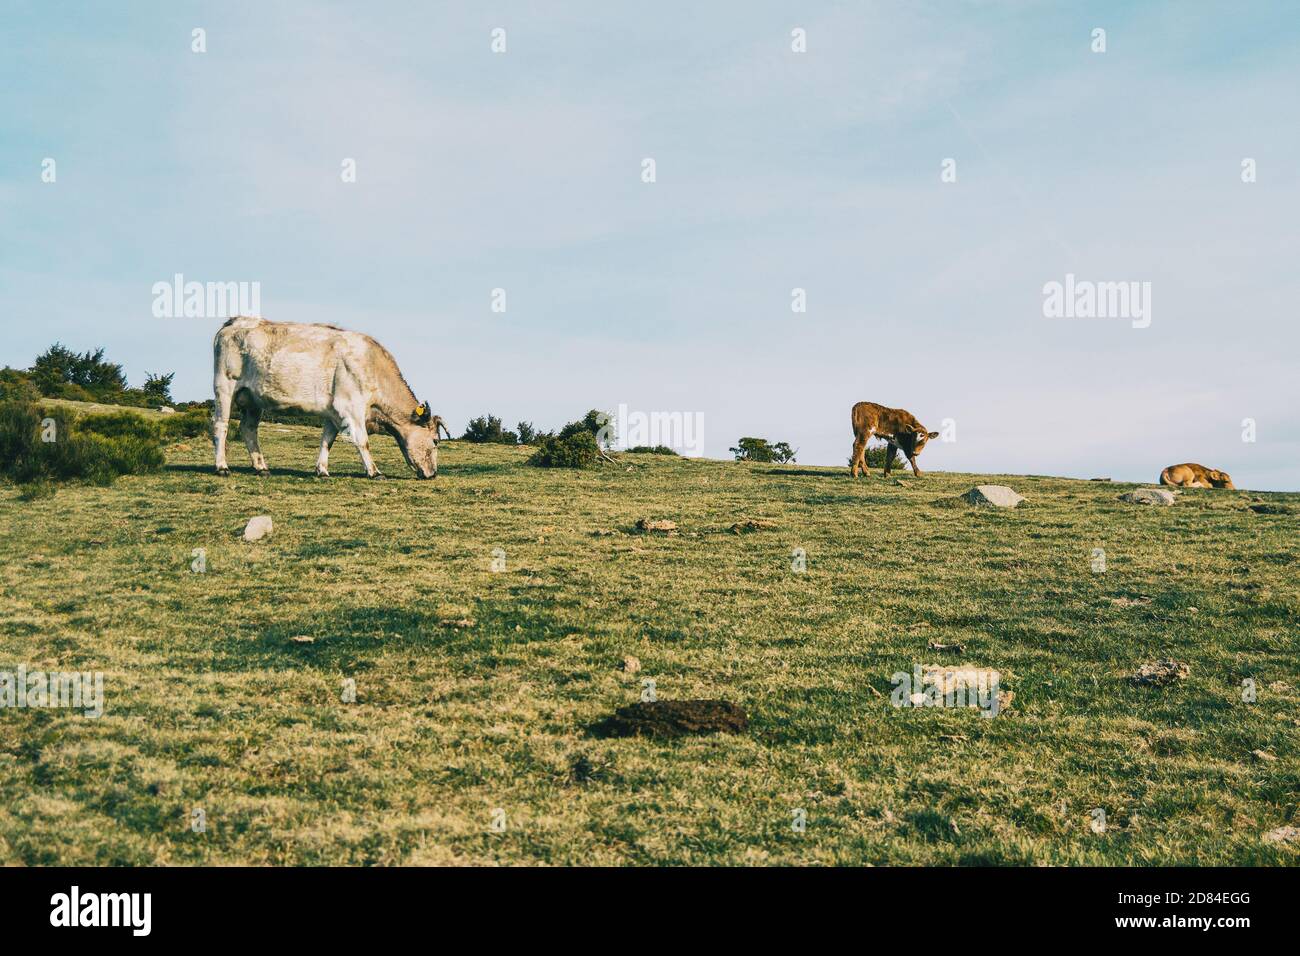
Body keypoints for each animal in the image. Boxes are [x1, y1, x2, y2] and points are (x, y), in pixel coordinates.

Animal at [212, 316, 449, 479]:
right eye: (436, 441)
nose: (434, 474)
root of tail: (235, 321)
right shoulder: (351, 407)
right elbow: (363, 441)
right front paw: (374, 472)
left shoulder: (333, 411)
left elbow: (327, 440)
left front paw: (322, 470)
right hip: (225, 387)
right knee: (221, 425)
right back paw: (222, 467)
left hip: (252, 399)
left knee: (248, 429)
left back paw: (261, 468)